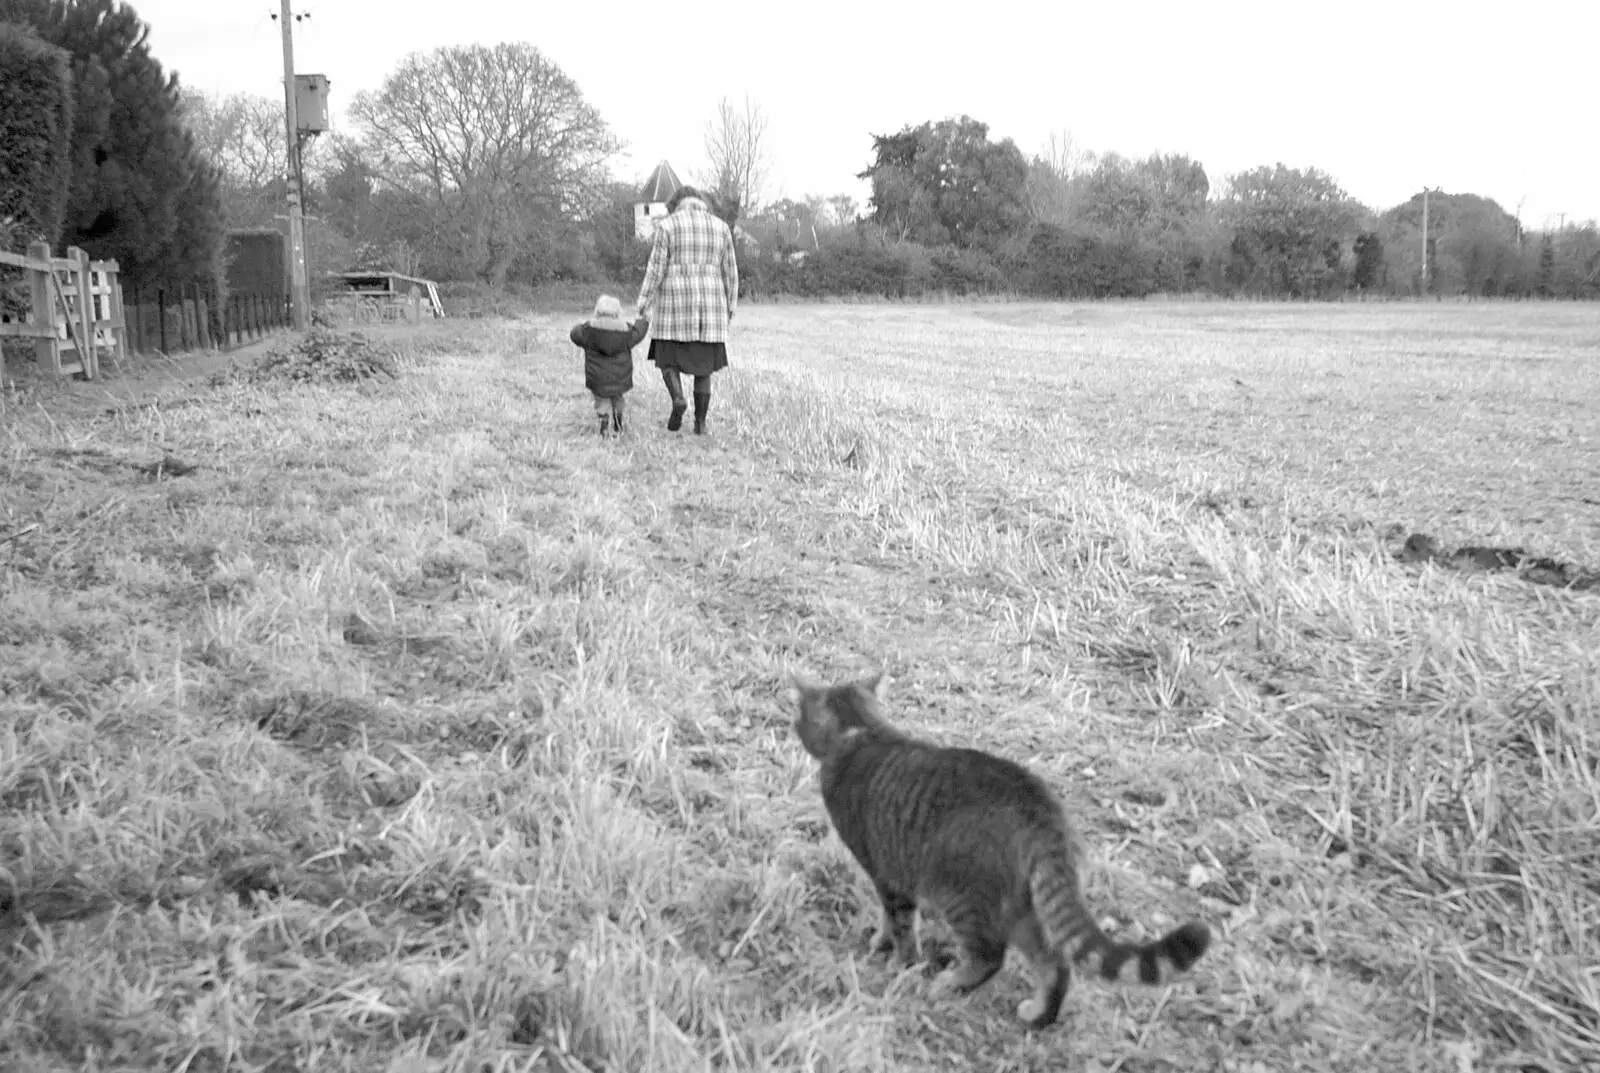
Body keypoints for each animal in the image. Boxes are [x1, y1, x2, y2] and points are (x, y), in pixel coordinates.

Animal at [793, 671, 1203, 1029]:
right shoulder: (893, 876)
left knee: (992, 956)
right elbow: (889, 920)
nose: (794, 726)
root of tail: (1043, 814)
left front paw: (897, 962)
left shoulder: (886, 873)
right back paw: (1038, 1016)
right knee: (1055, 962)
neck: (864, 731)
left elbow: (899, 925)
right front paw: (882, 944)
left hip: (964, 897)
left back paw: (949, 985)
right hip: (1024, 907)